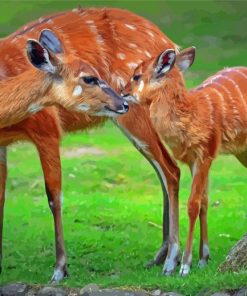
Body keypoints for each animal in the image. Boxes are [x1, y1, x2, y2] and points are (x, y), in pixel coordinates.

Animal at [0, 8, 181, 282]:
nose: (121, 100)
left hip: (138, 116)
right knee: (165, 171)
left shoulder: (47, 128)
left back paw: (171, 260)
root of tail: (172, 45)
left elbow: (54, 196)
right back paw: (160, 255)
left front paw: (60, 269)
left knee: (171, 170)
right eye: (89, 78)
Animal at [124, 46, 247, 276]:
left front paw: (185, 265)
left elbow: (193, 204)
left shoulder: (205, 154)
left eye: (136, 76)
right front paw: (203, 258)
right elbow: (204, 202)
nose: (122, 92)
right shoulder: (192, 159)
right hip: (241, 151)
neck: (191, 115)